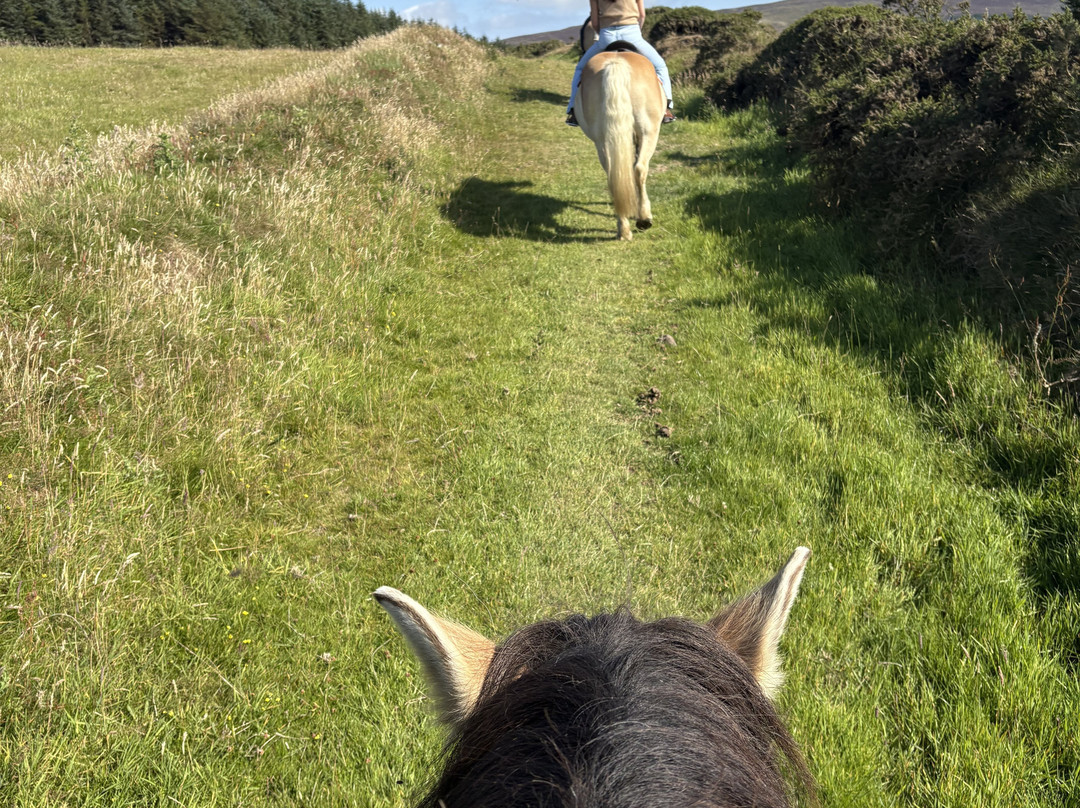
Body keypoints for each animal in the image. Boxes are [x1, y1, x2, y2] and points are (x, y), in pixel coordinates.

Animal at [573, 44, 666, 241]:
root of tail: (616, 64)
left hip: (601, 139)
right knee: (640, 168)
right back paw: (644, 218)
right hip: (649, 131)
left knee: (613, 174)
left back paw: (623, 229)